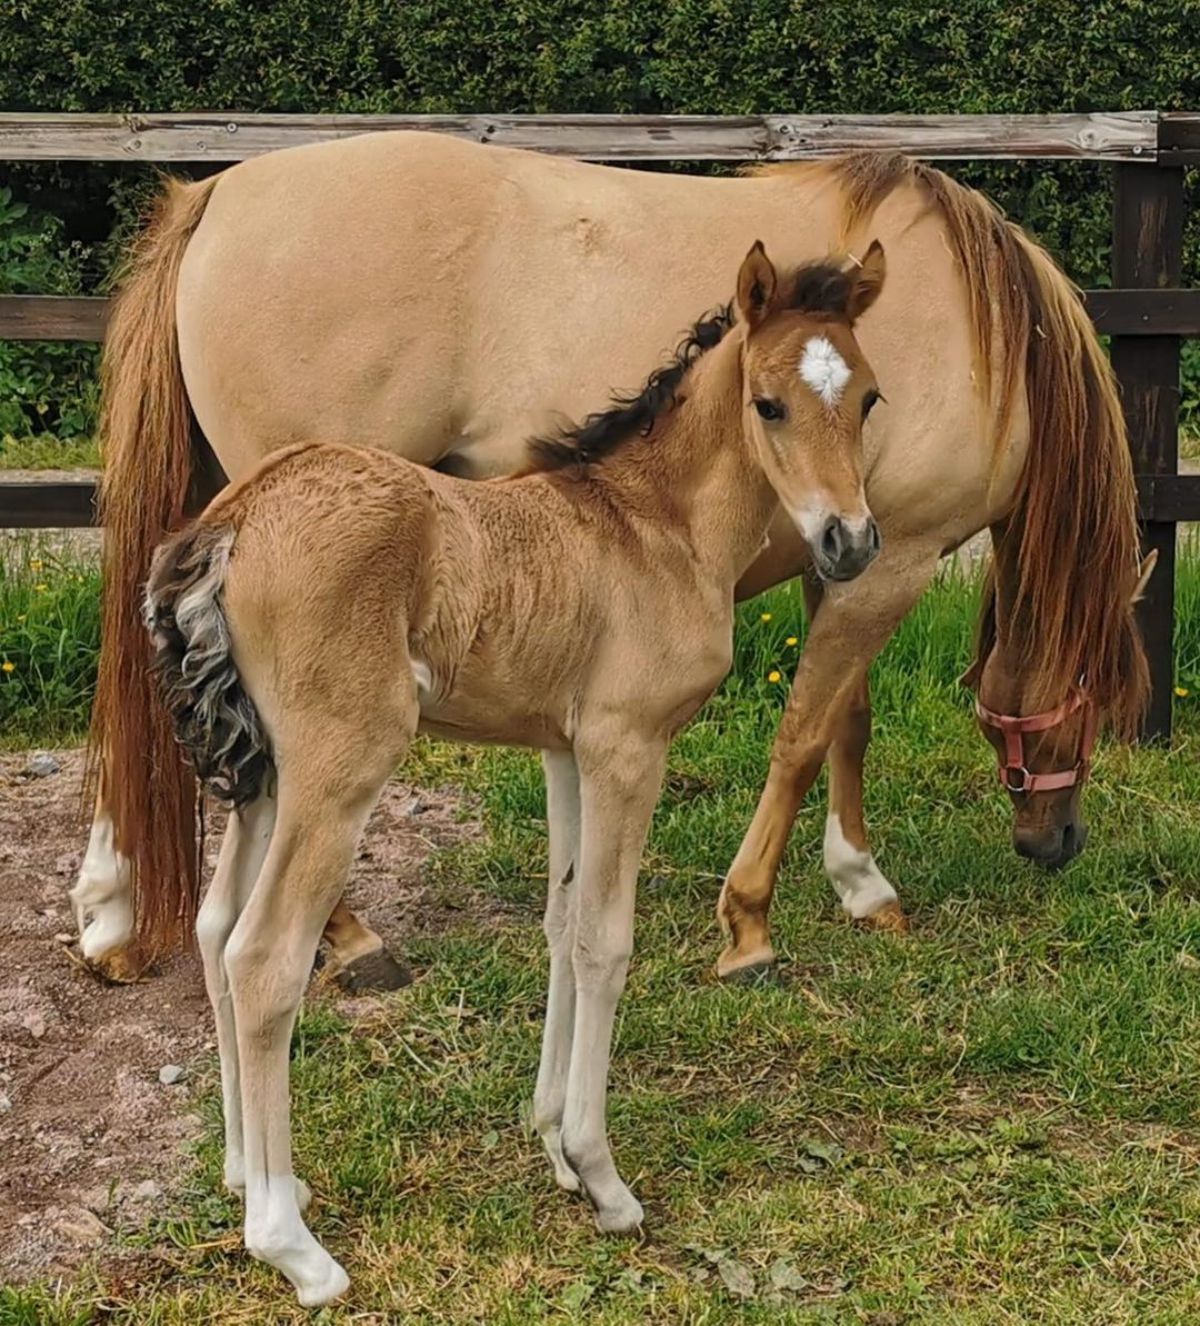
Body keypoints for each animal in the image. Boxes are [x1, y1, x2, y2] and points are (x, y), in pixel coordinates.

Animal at [74, 134, 1150, 986]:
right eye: (1094, 696)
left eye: (870, 399)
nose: (1058, 843)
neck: (988, 331)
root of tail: (220, 194)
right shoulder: (894, 562)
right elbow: (805, 736)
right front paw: (754, 919)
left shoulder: (846, 553)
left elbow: (848, 721)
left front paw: (859, 883)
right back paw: (345, 938)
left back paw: (112, 911)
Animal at [145, 238, 885, 1304]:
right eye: (769, 404)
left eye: (868, 397)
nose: (849, 541)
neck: (652, 528)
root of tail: (235, 517)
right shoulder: (628, 746)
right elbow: (607, 942)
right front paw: (606, 1180)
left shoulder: (566, 750)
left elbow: (561, 926)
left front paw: (552, 1147)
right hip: (340, 765)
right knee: (265, 956)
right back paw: (289, 1243)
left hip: (266, 772)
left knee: (212, 929)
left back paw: (247, 1176)